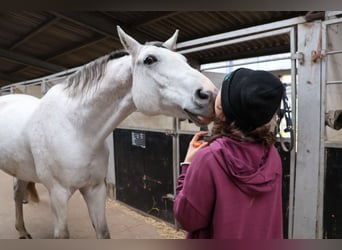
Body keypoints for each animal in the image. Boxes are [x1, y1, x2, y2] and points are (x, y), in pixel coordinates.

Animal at [0, 25, 216, 238]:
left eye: (184, 60)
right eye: (149, 59)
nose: (210, 94)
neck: (76, 128)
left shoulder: (95, 189)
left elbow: (103, 232)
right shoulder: (58, 194)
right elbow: (62, 234)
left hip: (21, 169)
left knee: (17, 193)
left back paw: (22, 231)